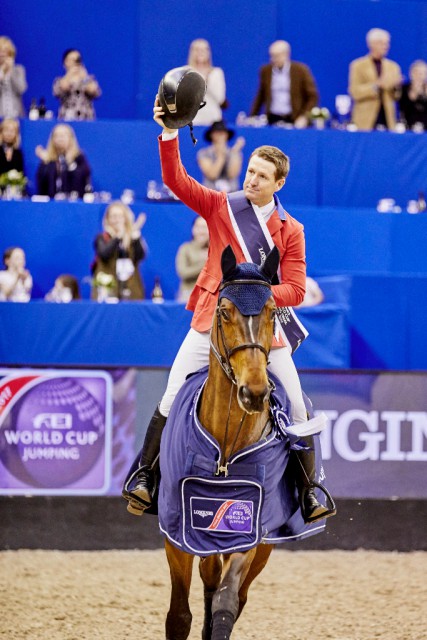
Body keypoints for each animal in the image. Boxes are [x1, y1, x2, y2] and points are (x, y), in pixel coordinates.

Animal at [159, 245, 326, 640]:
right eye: (223, 311)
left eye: (271, 311)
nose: (255, 393)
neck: (225, 444)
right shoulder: (175, 531)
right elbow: (178, 617)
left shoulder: (250, 529)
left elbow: (226, 602)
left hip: (265, 541)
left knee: (235, 594)